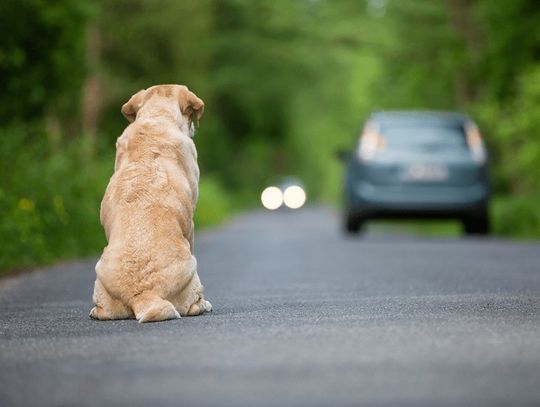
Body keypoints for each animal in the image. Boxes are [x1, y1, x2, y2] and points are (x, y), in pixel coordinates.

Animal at [89, 84, 212, 324]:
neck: (157, 117)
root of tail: (144, 294)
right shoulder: (191, 224)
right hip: (192, 268)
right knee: (192, 305)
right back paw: (203, 305)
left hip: (100, 275)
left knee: (102, 311)